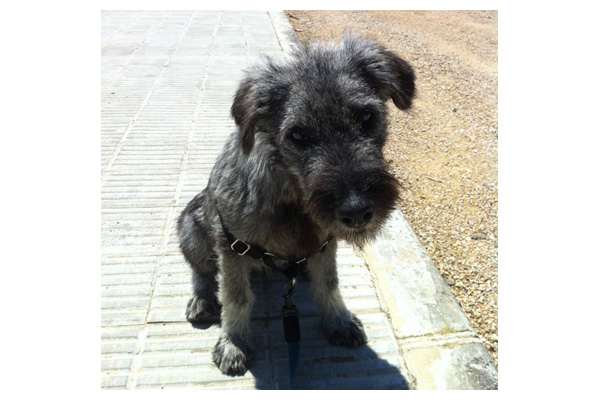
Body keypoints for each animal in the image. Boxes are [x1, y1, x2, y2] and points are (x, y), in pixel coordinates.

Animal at [177, 33, 416, 376]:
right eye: (298, 134)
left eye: (367, 117)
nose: (358, 211)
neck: (293, 194)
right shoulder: (231, 248)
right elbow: (236, 296)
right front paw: (234, 342)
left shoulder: (325, 243)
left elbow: (329, 283)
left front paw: (338, 320)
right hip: (190, 225)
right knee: (201, 271)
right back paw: (201, 298)